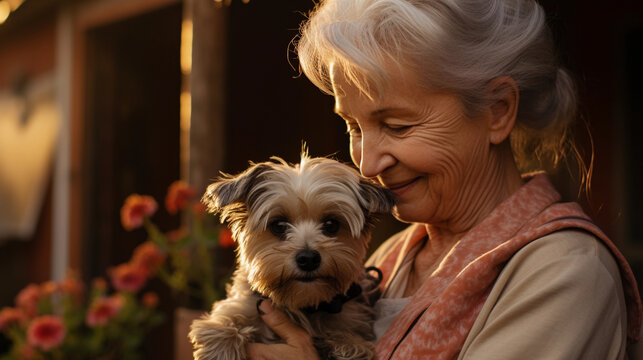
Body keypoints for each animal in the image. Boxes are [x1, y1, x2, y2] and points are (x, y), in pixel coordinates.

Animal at [189, 154, 394, 360]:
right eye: (279, 225)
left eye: (331, 224)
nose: (308, 258)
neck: (304, 303)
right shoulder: (245, 304)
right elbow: (229, 316)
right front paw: (222, 344)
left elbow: (348, 330)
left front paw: (349, 344)